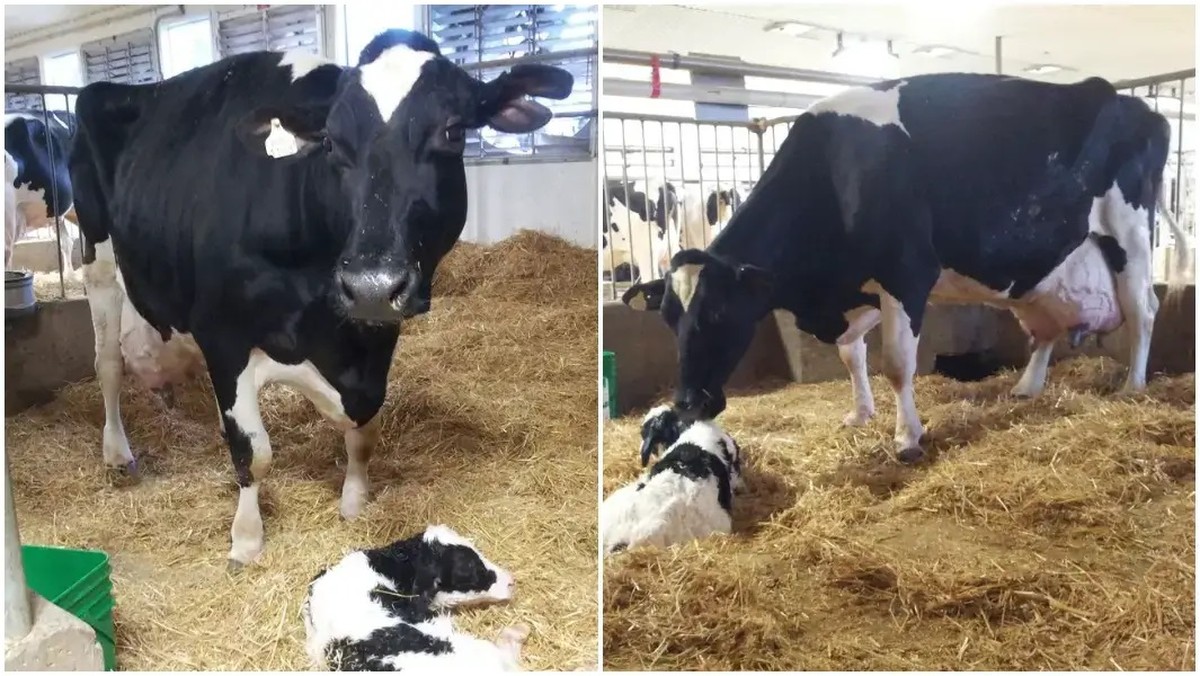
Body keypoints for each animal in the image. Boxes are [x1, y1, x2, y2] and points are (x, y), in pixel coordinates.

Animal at [68, 29, 573, 566]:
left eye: (454, 131)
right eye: (330, 142)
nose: (371, 283)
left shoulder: (374, 340)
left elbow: (365, 430)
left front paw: (354, 500)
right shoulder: (222, 334)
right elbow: (253, 451)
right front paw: (246, 540)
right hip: (98, 265)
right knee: (108, 364)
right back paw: (117, 453)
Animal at [621, 73, 1190, 464]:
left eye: (720, 313)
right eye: (668, 317)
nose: (687, 401)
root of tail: (1135, 103)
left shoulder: (907, 273)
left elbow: (896, 362)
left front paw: (906, 436)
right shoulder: (861, 290)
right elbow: (851, 356)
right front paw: (859, 413)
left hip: (1129, 233)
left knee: (1144, 309)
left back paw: (1134, 385)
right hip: (1045, 275)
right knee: (1046, 327)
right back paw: (1028, 387)